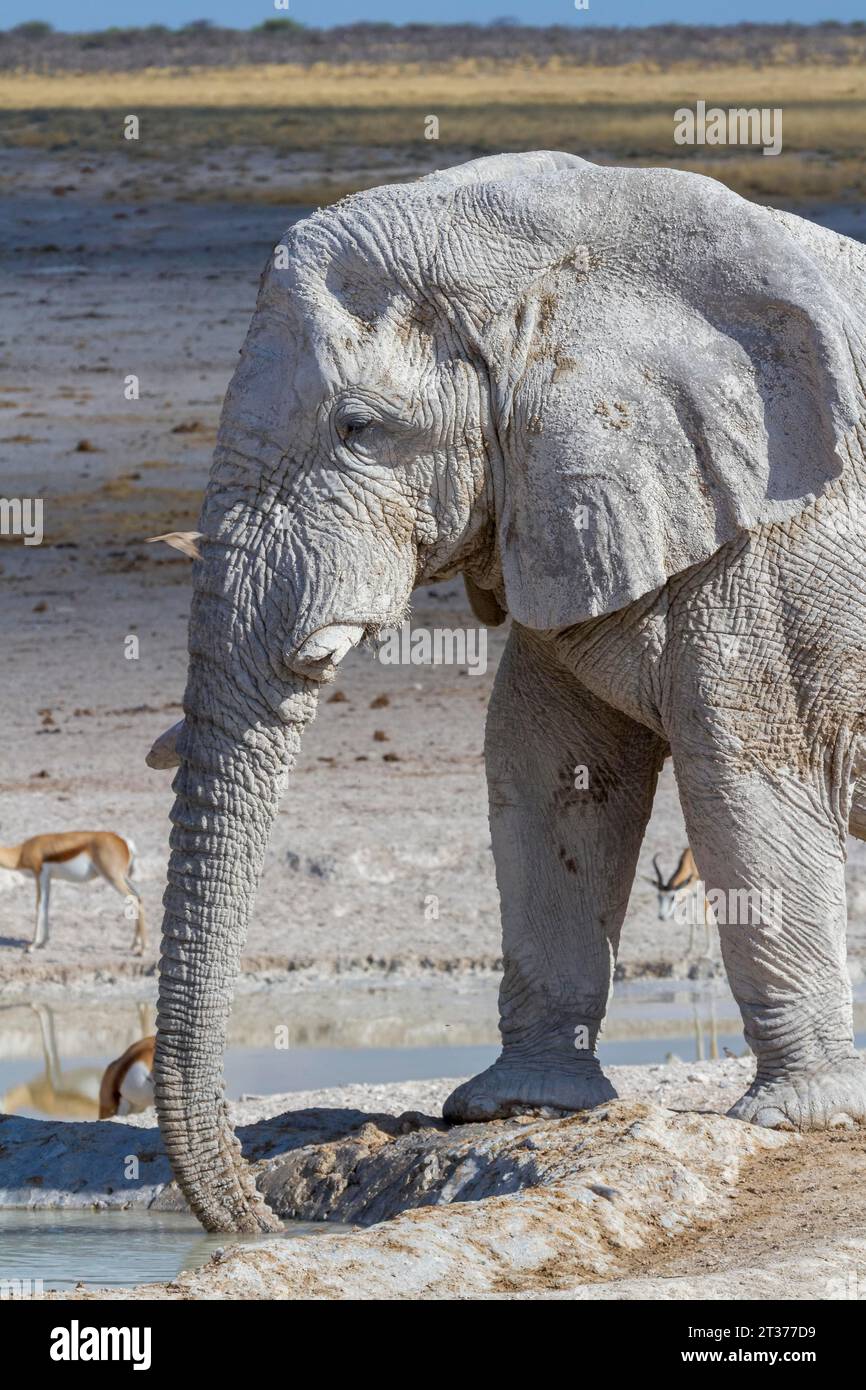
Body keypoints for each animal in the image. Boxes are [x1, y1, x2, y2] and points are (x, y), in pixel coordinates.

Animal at [145, 152, 866, 1234]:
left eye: (359, 429)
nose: (258, 1219)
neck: (567, 252)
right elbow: (550, 773)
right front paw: (516, 1106)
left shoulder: (772, 546)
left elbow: (741, 785)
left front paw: (794, 1118)